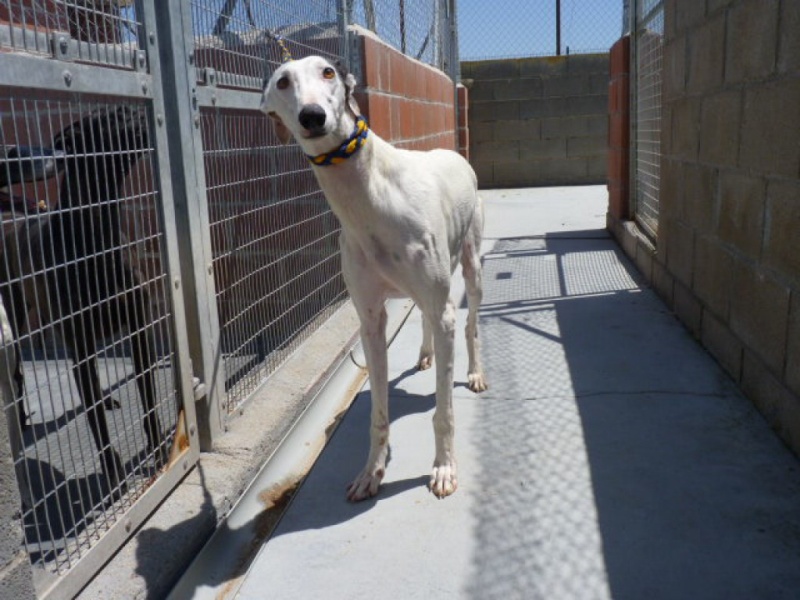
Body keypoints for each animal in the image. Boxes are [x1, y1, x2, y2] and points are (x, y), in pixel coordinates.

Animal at [262, 56, 488, 500]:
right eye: (282, 82)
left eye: (328, 72)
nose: (312, 116)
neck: (372, 199)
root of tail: (453, 154)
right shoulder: (369, 320)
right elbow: (378, 413)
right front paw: (371, 472)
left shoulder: (443, 309)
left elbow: (444, 411)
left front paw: (443, 469)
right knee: (427, 318)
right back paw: (425, 353)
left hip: (471, 268)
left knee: (470, 322)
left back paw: (473, 372)